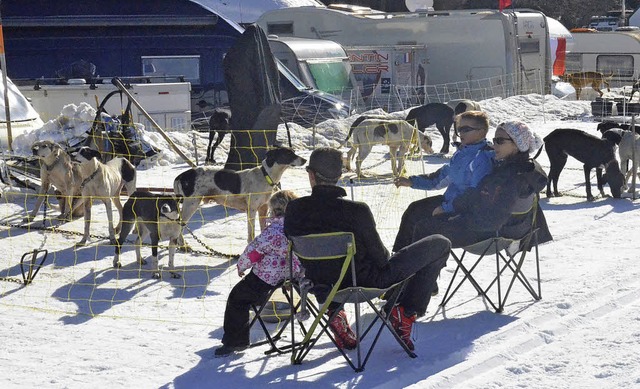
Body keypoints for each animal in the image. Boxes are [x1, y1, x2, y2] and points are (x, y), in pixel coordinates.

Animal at [174, 147, 306, 241]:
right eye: (289, 153)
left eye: (294, 152)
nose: (305, 160)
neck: (266, 176)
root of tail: (181, 175)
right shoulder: (251, 210)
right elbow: (251, 234)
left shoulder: (263, 208)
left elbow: (262, 229)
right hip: (191, 204)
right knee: (179, 227)